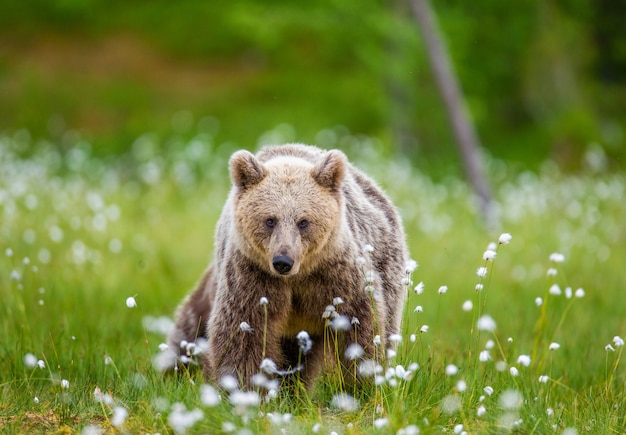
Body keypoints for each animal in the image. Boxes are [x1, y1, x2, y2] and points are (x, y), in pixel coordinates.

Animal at [166, 143, 408, 388]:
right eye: (270, 220)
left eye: (304, 222)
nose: (283, 261)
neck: (297, 277)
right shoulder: (252, 276)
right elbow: (242, 335)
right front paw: (245, 387)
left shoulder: (337, 275)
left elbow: (360, 326)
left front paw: (362, 381)